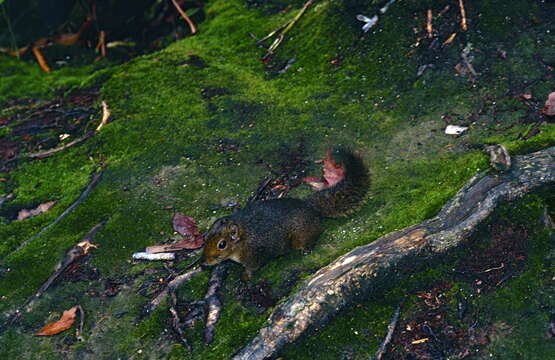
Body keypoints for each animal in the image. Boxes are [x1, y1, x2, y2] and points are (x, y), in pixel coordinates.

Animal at [201, 148, 370, 280]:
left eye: (222, 244)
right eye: (205, 237)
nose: (203, 262)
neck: (243, 237)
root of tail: (310, 206)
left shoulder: (255, 254)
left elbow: (252, 268)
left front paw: (245, 277)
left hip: (301, 236)